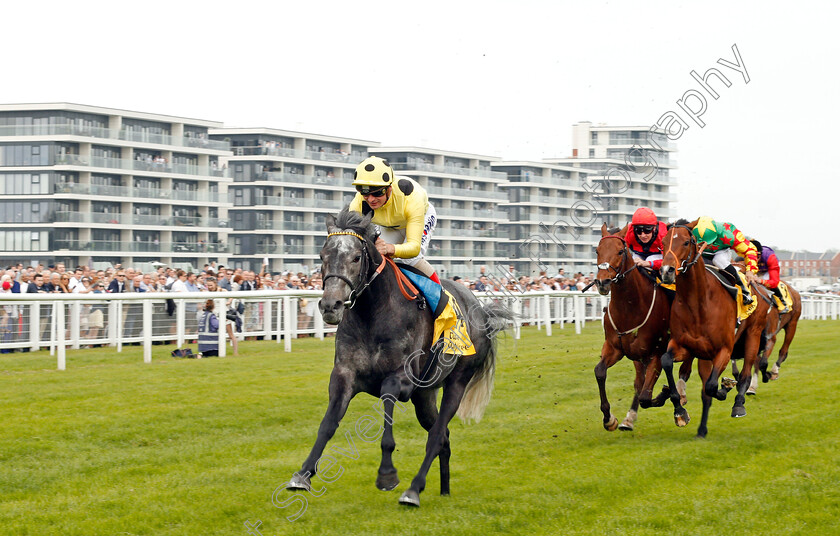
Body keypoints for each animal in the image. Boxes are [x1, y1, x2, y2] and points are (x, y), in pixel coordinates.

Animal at [288, 208, 512, 506]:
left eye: (356, 257)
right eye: (323, 256)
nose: (330, 305)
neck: (373, 313)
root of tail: (482, 310)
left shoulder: (400, 379)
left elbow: (387, 419)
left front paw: (387, 475)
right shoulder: (344, 374)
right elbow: (327, 425)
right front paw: (302, 475)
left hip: (457, 381)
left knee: (437, 435)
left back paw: (413, 490)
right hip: (424, 395)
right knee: (443, 436)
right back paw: (443, 489)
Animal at [588, 225, 684, 432]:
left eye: (620, 251)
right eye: (597, 251)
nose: (602, 282)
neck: (630, 308)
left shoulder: (657, 352)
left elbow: (646, 397)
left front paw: (666, 395)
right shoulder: (615, 348)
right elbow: (600, 371)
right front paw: (609, 418)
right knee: (639, 382)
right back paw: (629, 418)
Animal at [660, 220, 772, 438]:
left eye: (686, 242)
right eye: (663, 243)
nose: (667, 271)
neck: (698, 303)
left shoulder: (725, 350)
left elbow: (712, 386)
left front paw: (725, 387)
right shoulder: (684, 346)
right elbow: (666, 361)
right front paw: (680, 411)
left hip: (753, 335)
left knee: (745, 373)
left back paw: (738, 404)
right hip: (705, 355)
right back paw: (702, 430)